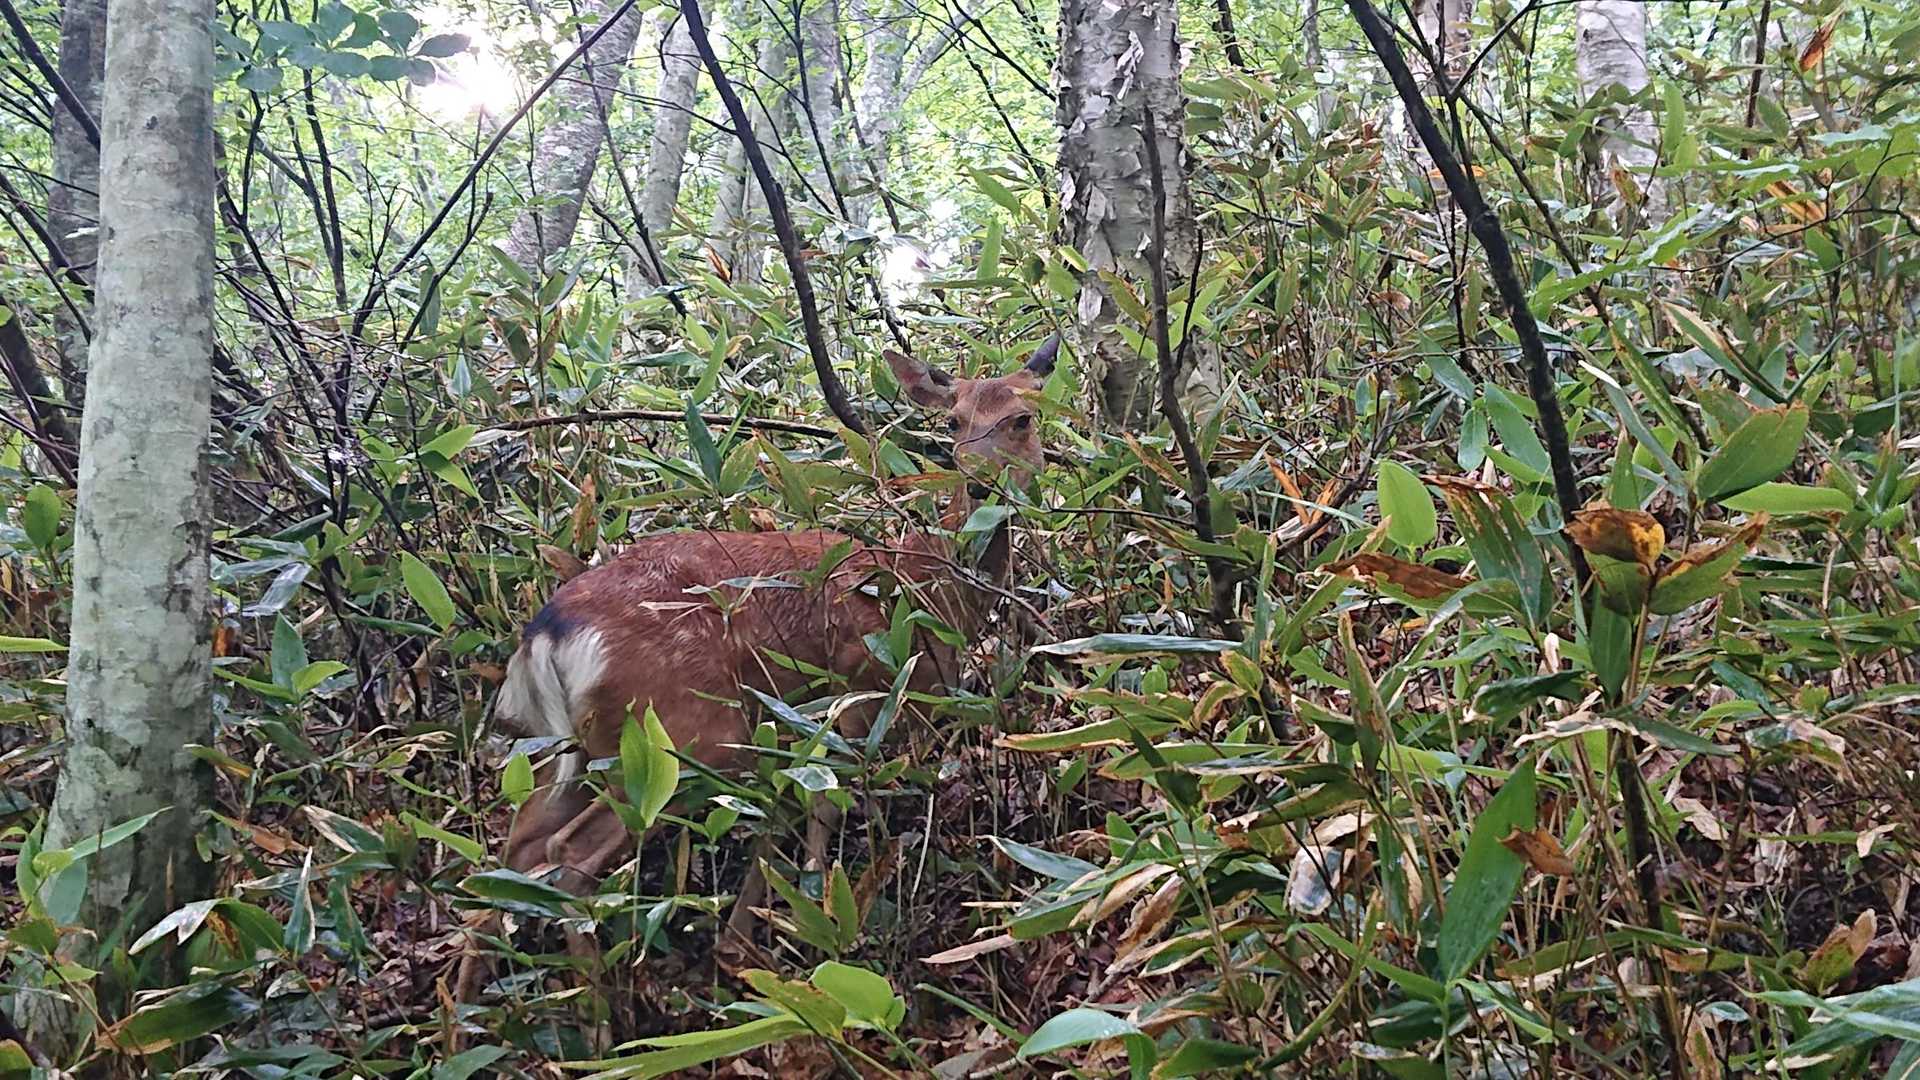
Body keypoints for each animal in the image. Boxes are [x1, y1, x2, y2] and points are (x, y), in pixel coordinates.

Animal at [452, 337, 1058, 1023]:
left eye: (1022, 418)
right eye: (953, 422)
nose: (976, 480)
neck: (933, 590)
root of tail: (547, 632)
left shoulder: (797, 717)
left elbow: (779, 816)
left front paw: (747, 947)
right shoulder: (862, 691)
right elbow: (821, 806)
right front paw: (818, 933)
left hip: (575, 749)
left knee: (510, 850)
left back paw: (469, 1020)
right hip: (682, 734)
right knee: (566, 855)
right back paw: (606, 1016)